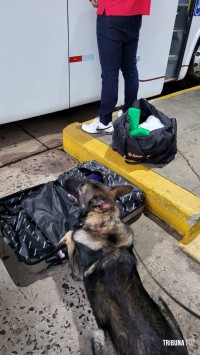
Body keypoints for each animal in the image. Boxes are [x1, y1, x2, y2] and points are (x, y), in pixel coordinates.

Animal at [59, 181, 188, 355]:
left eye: (80, 187)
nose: (62, 180)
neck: (105, 225)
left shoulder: (78, 271)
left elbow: (70, 234)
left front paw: (61, 241)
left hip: (99, 335)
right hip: (159, 300)